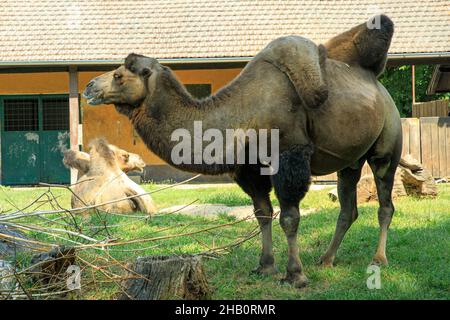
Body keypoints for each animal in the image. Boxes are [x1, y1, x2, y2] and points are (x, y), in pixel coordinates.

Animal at [83, 16, 400, 288]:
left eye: (119, 75)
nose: (88, 87)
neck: (242, 114)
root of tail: (380, 87)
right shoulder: (250, 168)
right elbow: (262, 214)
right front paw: (265, 266)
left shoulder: (289, 156)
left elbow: (289, 217)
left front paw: (295, 275)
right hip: (351, 161)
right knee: (348, 207)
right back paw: (326, 259)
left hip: (386, 148)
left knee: (385, 203)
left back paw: (379, 259)